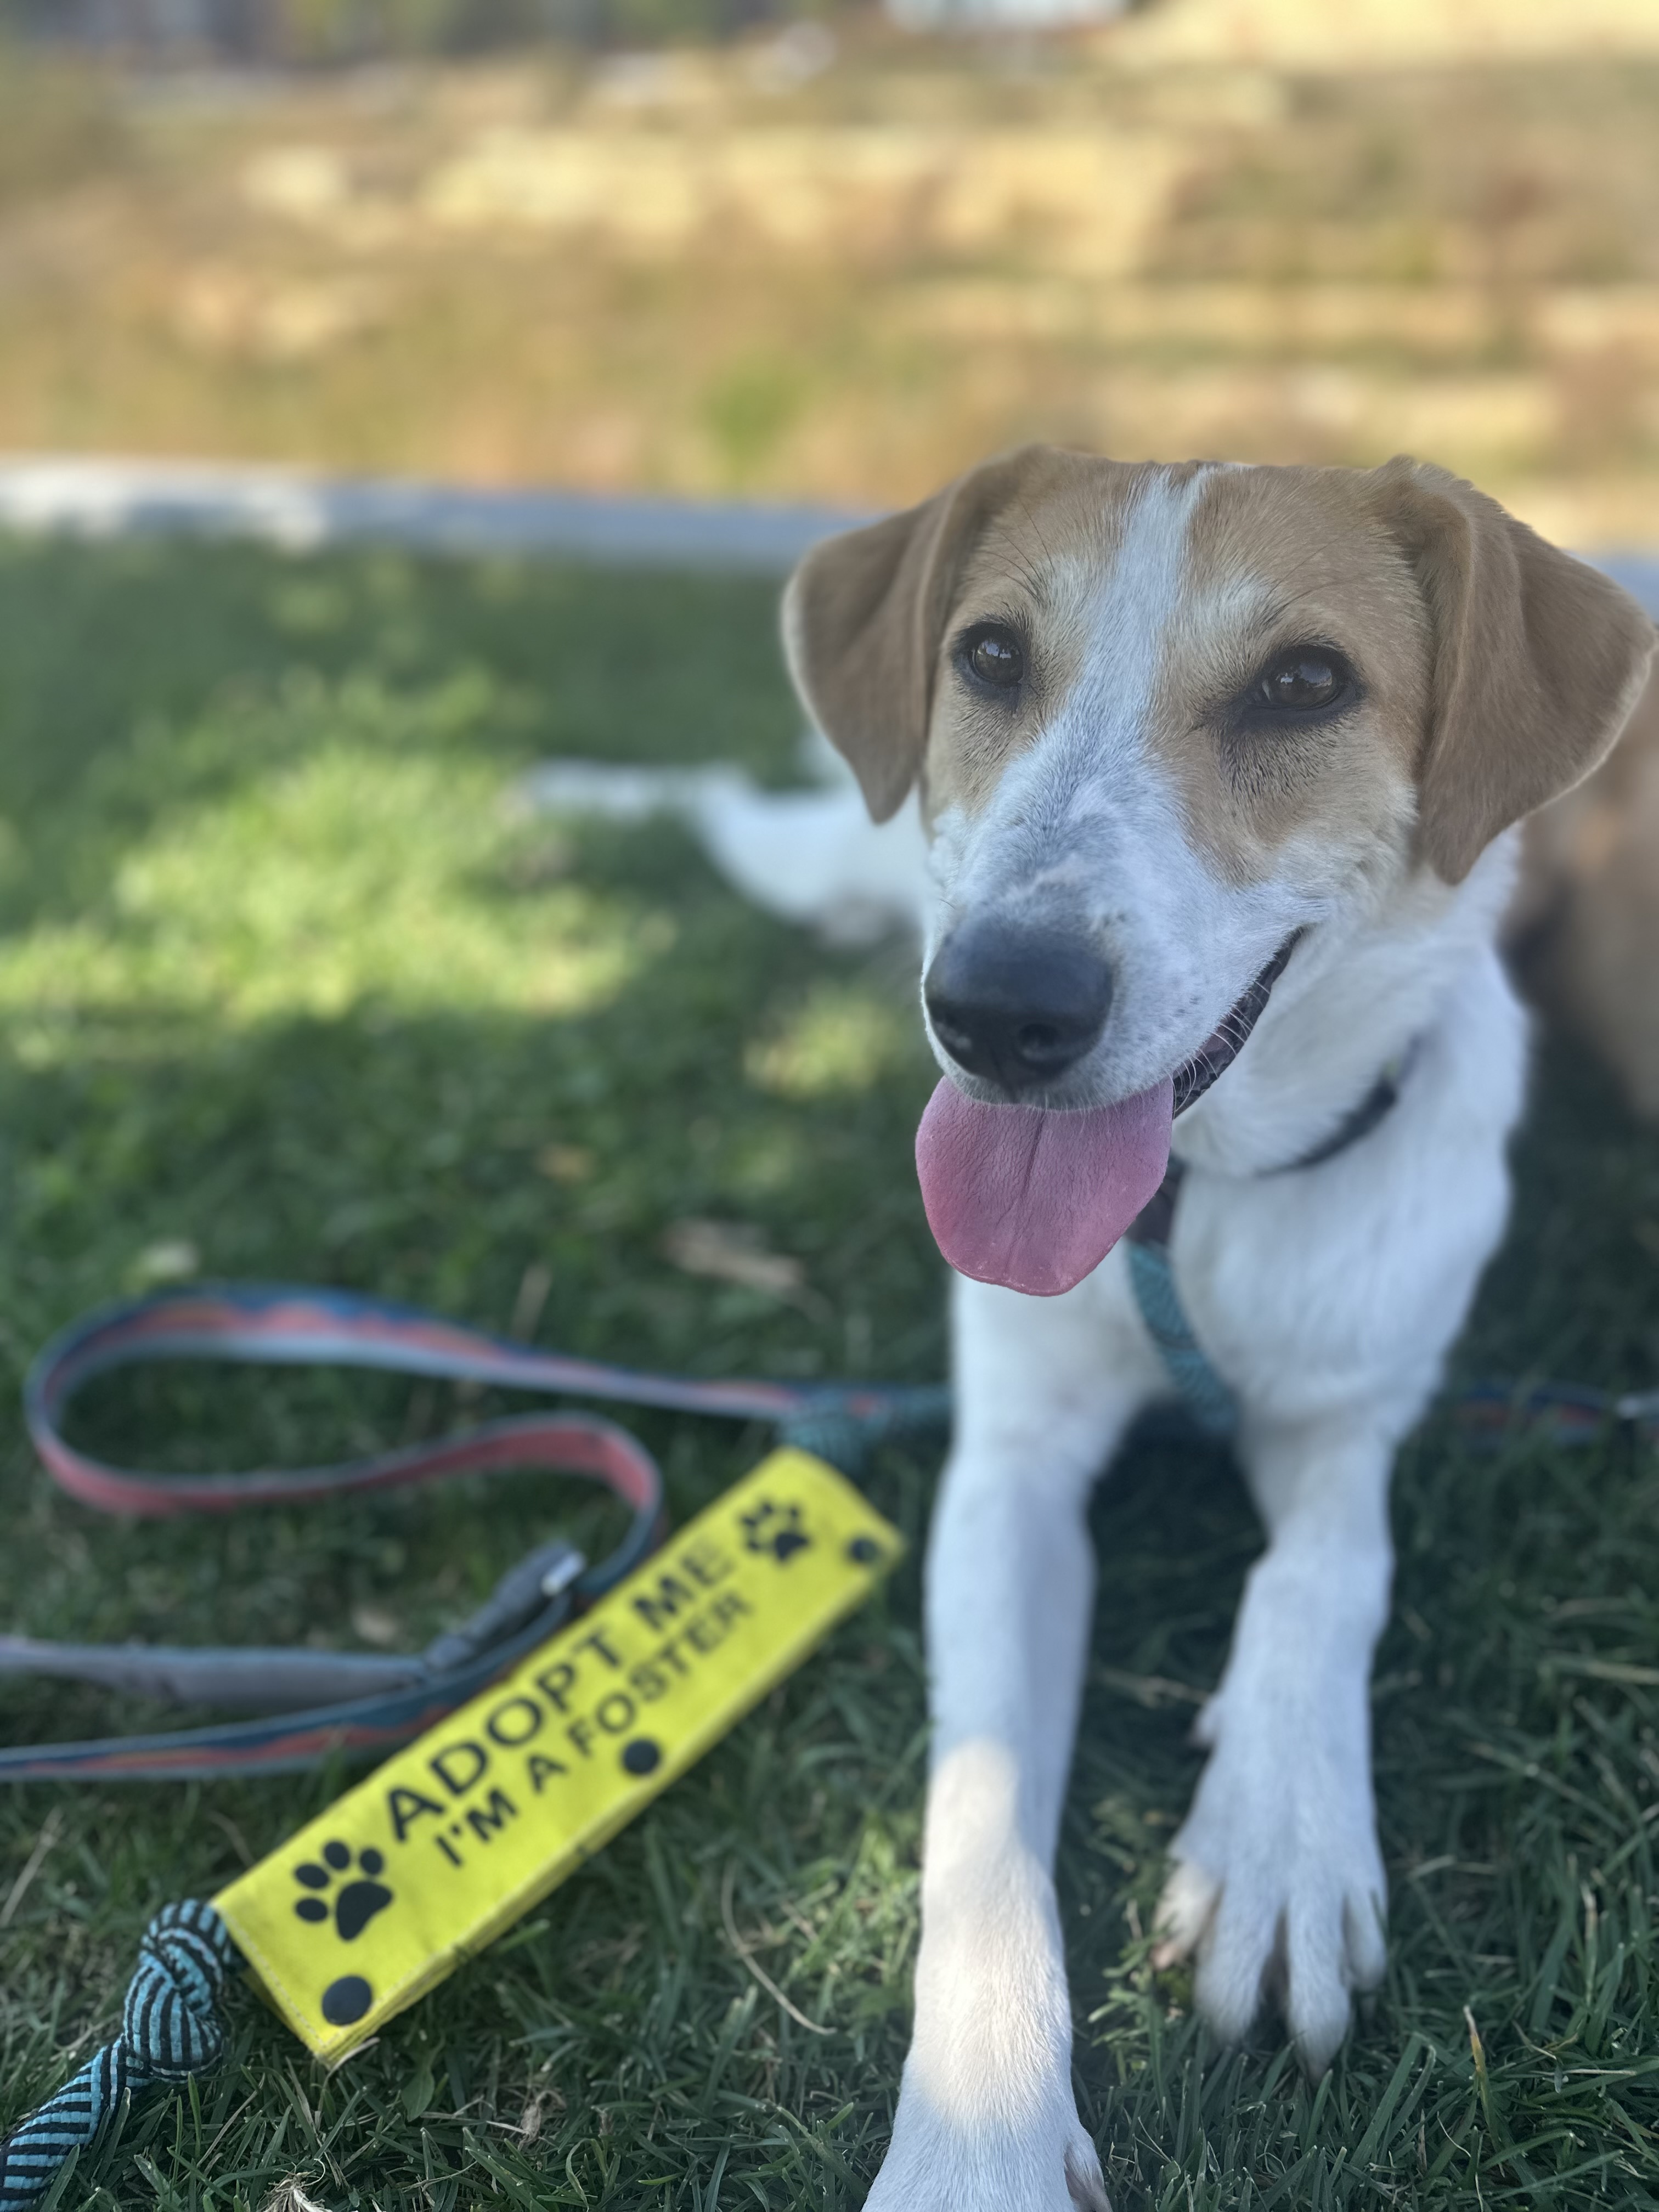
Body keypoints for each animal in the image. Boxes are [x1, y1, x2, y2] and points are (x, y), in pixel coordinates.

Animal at [778, 449, 1659, 2212]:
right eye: (990, 658)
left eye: (1305, 684)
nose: (998, 1010)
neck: (1204, 1203)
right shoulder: (1008, 1468)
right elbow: (981, 1803)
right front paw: (977, 2141)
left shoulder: (1355, 1413)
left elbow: (1320, 1578)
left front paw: (1284, 1837)